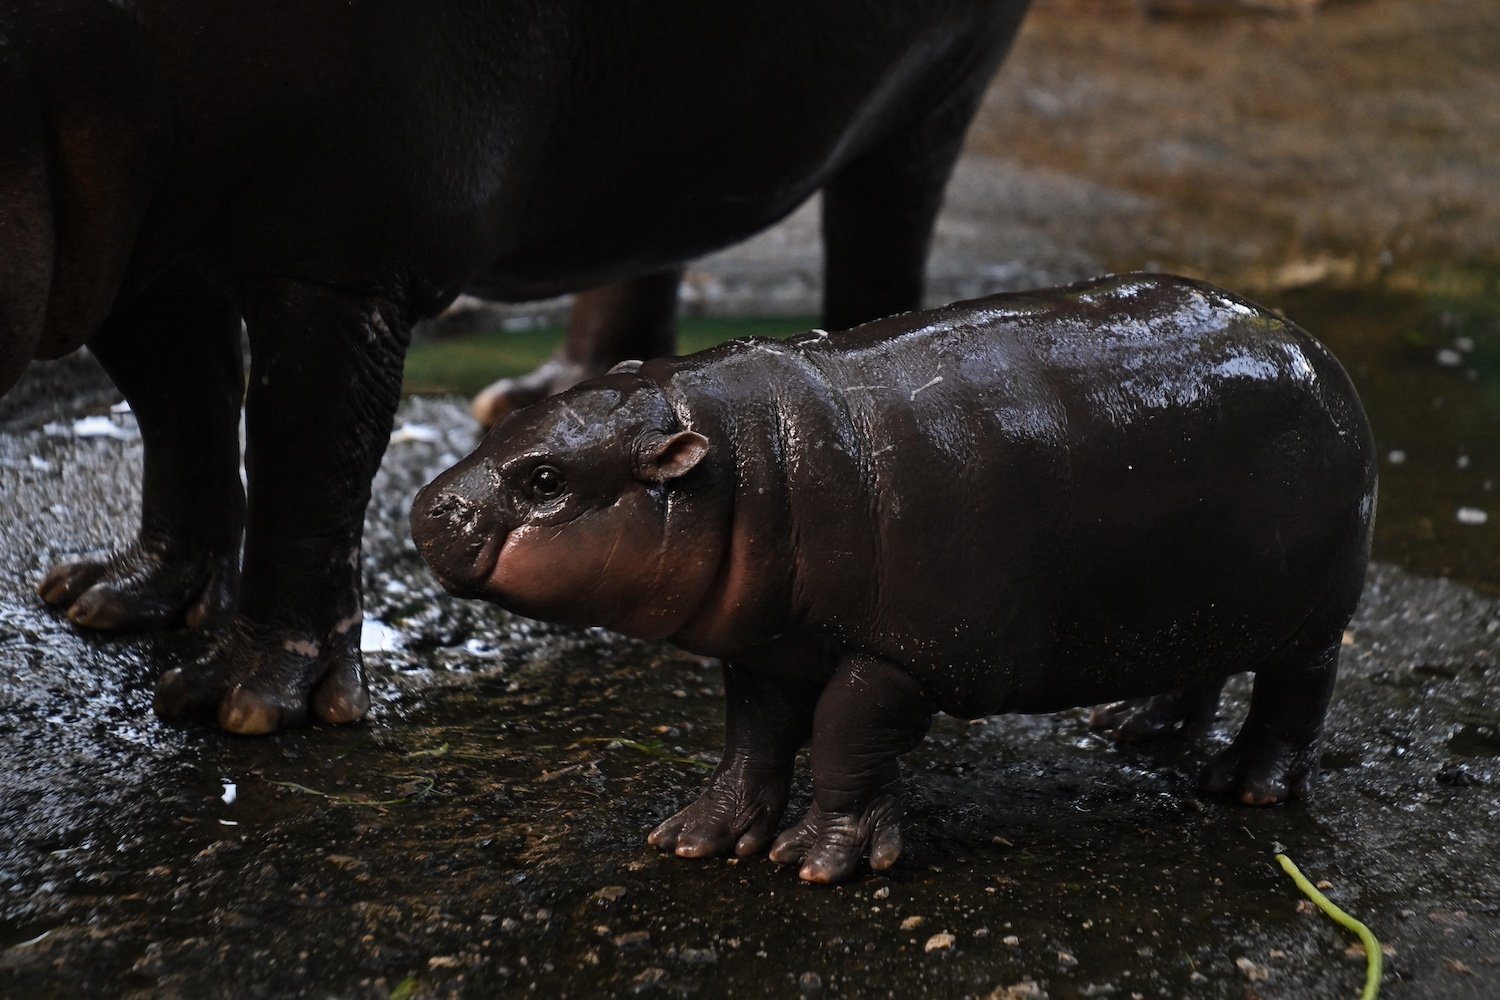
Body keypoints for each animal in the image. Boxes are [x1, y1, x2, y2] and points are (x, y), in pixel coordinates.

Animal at [2, 1, 1032, 734]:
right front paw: (112, 599)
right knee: (649, 230)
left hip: (937, 91)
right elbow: (183, 411)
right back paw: (541, 396)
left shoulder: (340, 258)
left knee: (882, 227)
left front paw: (242, 703)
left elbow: (304, 457)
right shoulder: (128, 248)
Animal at [408, 271, 1374, 881]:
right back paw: (1135, 727)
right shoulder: (769, 646)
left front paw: (816, 861)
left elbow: (842, 733)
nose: (427, 508)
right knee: (1201, 664)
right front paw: (696, 837)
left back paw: (1245, 787)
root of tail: (1310, 344)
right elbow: (751, 739)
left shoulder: (907, 655)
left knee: (1298, 692)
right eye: (513, 418)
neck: (754, 464)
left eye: (545, 480)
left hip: (1310, 612)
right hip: (1198, 592)